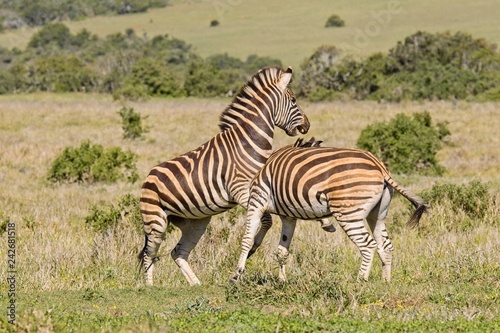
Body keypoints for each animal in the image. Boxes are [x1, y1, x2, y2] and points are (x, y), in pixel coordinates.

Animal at [137, 65, 308, 286]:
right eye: (293, 100)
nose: (306, 126)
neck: (248, 142)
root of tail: (148, 177)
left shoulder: (261, 190)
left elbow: (267, 220)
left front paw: (254, 246)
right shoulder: (241, 190)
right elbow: (266, 220)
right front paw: (252, 248)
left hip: (196, 221)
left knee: (178, 252)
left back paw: (196, 284)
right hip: (155, 221)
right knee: (149, 254)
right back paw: (150, 286)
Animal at [230, 136, 426, 282]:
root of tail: (379, 165)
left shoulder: (257, 200)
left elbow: (247, 238)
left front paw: (237, 274)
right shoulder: (288, 217)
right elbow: (282, 250)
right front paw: (282, 281)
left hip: (348, 213)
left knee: (368, 245)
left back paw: (360, 281)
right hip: (377, 214)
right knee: (385, 245)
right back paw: (386, 281)